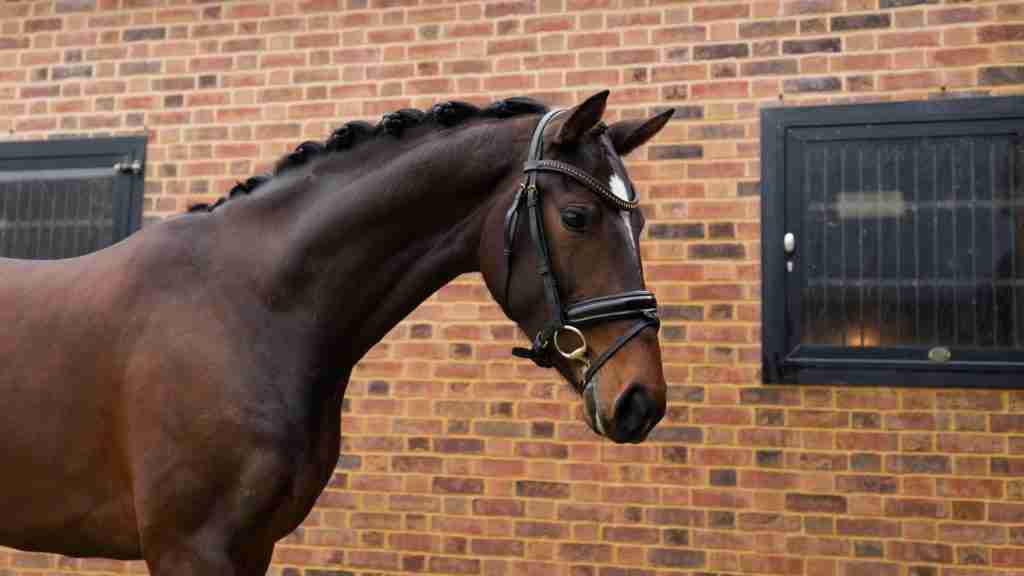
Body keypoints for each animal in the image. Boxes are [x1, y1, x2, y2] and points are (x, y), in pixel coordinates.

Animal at [0, 90, 672, 574]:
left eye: (639, 226)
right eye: (578, 217)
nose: (640, 399)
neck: (249, 308)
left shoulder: (253, 545)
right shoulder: (188, 546)